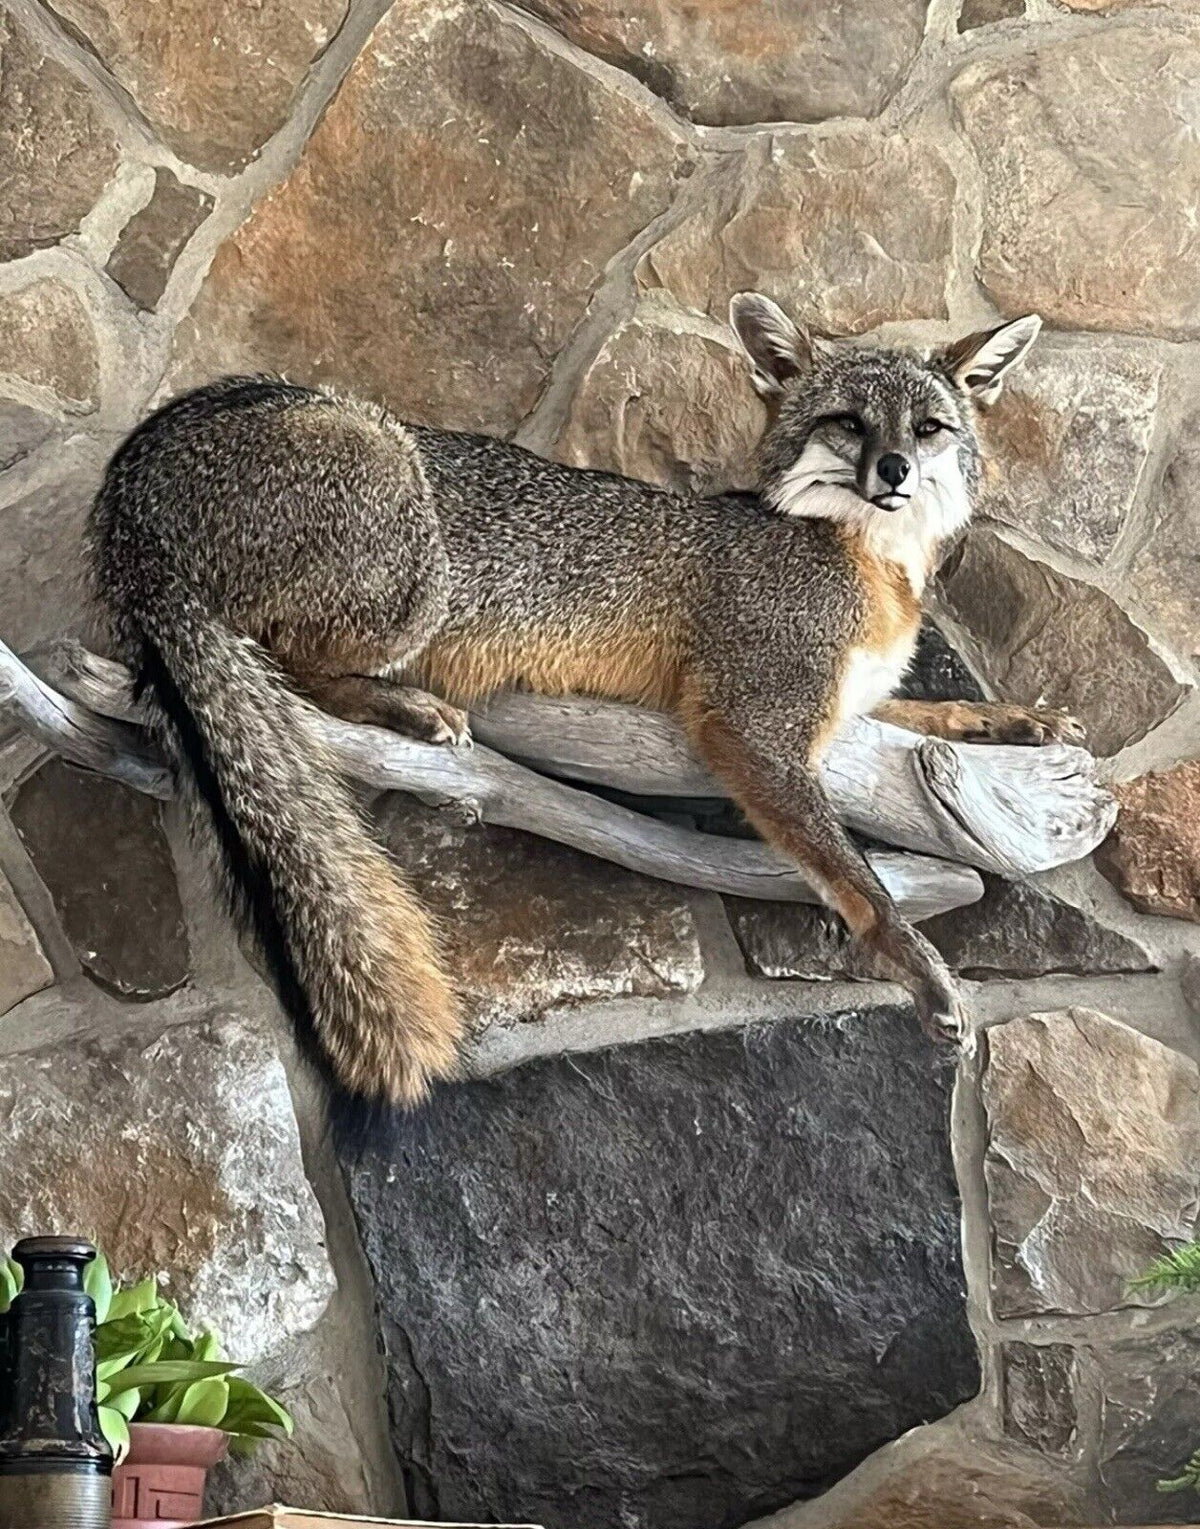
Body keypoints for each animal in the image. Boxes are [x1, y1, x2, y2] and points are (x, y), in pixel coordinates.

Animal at [86, 293, 1081, 1105]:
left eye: (929, 428)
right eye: (849, 423)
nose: (894, 471)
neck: (870, 563)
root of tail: (132, 474)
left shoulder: (849, 710)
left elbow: (930, 718)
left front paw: (1019, 720)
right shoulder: (752, 720)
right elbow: (857, 876)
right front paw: (919, 966)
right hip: (408, 534)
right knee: (287, 663)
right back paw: (407, 708)